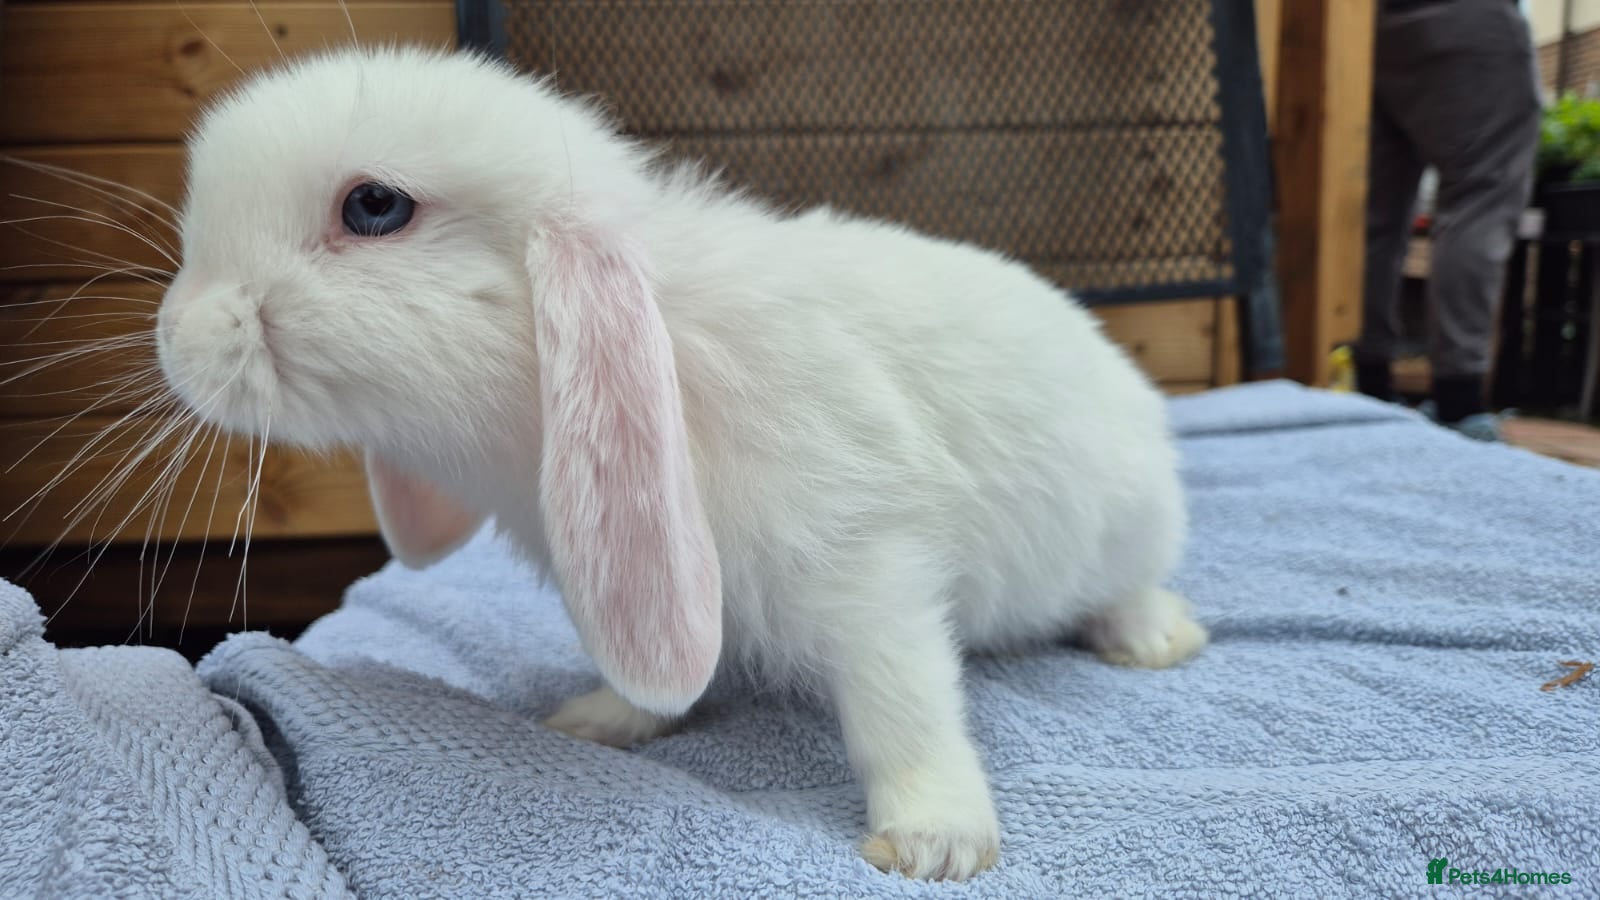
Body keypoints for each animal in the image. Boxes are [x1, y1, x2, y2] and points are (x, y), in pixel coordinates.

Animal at [155, 45, 1207, 881]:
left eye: (375, 206)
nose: (175, 335)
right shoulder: (655, 577)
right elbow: (656, 669)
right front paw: (601, 721)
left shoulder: (866, 563)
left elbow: (899, 700)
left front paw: (934, 842)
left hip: (1131, 524)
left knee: (1131, 584)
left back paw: (1152, 638)